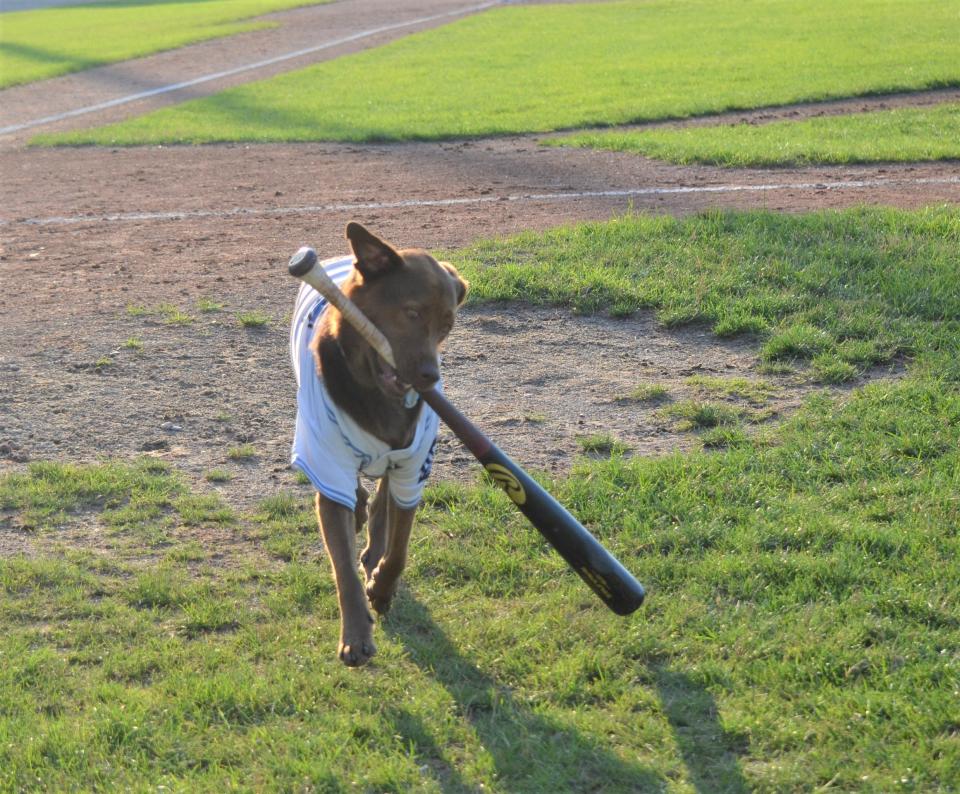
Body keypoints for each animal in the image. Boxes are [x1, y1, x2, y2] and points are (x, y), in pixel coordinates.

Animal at [292, 223, 468, 664]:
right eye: (411, 313)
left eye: (447, 324)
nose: (429, 377)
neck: (375, 394)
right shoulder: (325, 463)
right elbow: (341, 565)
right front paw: (355, 632)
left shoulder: (414, 465)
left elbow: (400, 545)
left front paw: (383, 588)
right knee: (358, 495)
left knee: (383, 500)